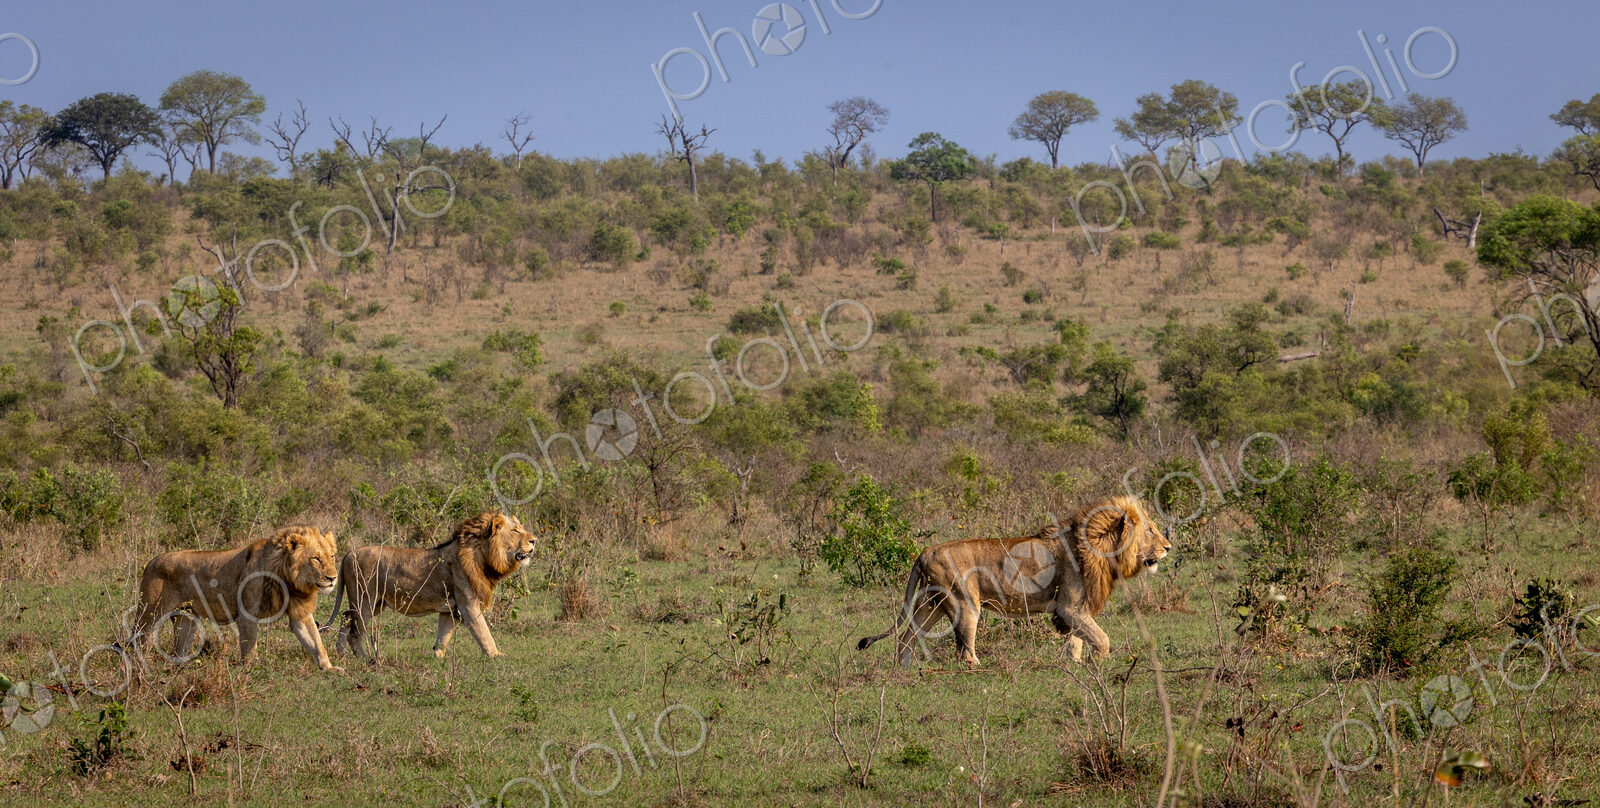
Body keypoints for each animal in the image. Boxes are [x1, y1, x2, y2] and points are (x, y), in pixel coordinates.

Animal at [122, 527, 342, 672]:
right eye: (316, 559)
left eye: (332, 556)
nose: (333, 578)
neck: (289, 579)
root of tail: (152, 561)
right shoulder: (247, 613)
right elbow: (250, 645)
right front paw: (251, 670)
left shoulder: (300, 613)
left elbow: (315, 641)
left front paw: (329, 667)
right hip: (150, 613)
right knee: (138, 641)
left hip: (187, 618)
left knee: (178, 650)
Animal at [322, 512, 536, 660]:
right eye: (515, 530)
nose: (534, 540)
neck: (483, 556)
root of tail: (349, 554)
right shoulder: (468, 604)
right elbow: (483, 632)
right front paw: (497, 655)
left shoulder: (450, 609)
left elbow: (443, 636)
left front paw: (438, 657)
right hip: (365, 600)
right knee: (354, 632)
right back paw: (366, 659)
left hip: (375, 603)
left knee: (345, 619)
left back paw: (342, 653)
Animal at [857, 495, 1171, 667]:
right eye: (1151, 531)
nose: (1168, 547)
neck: (1101, 546)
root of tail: (924, 552)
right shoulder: (1069, 607)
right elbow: (1100, 638)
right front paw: (1097, 663)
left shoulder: (1073, 609)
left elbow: (1078, 640)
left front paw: (1075, 663)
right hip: (964, 603)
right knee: (964, 650)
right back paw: (979, 667)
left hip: (931, 603)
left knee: (906, 637)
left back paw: (905, 669)